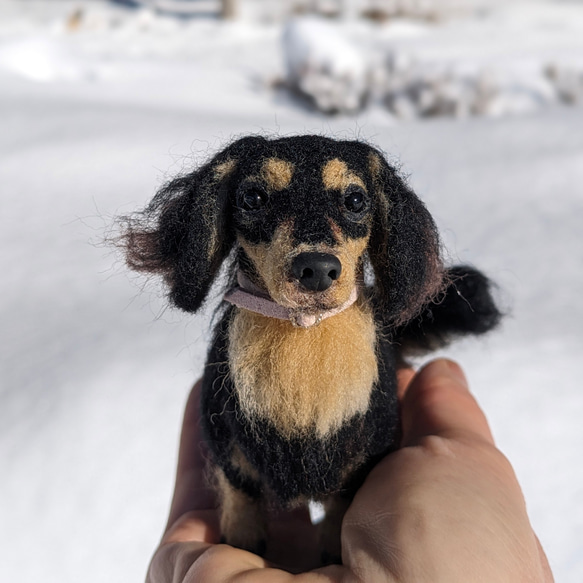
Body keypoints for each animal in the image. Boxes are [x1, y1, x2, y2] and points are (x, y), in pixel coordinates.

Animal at [120, 135, 502, 564]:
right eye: (253, 197)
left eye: (355, 199)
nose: (317, 269)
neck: (305, 333)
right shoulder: (230, 452)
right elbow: (240, 501)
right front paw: (240, 541)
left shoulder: (357, 469)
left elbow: (338, 517)